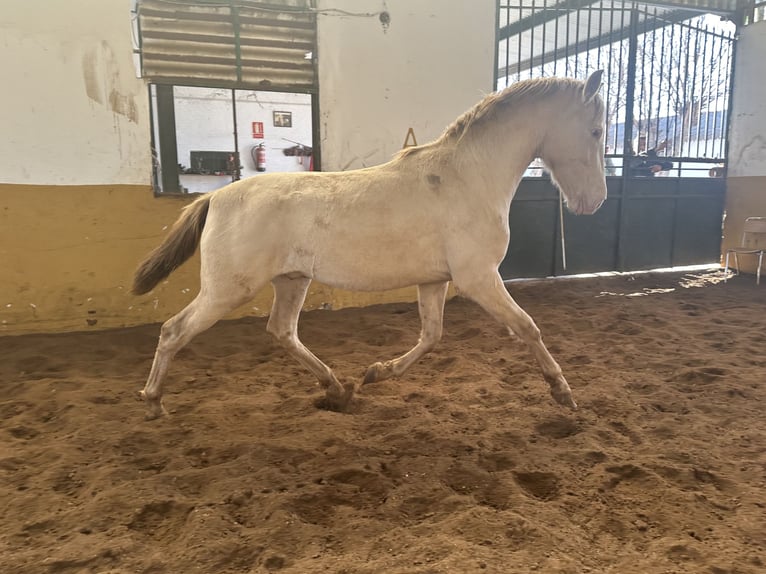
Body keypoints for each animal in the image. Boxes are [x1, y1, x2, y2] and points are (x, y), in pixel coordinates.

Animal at [135, 72, 608, 424]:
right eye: (596, 130)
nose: (595, 202)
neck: (467, 177)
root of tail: (214, 197)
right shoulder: (479, 278)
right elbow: (527, 327)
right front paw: (563, 393)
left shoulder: (435, 281)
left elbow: (432, 336)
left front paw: (376, 373)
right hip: (228, 289)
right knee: (174, 331)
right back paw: (154, 402)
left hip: (291, 280)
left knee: (282, 330)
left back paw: (337, 389)